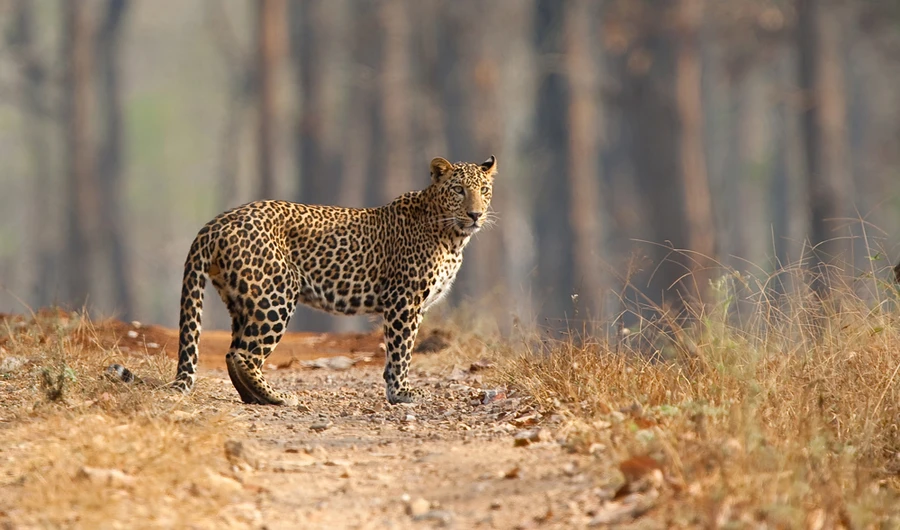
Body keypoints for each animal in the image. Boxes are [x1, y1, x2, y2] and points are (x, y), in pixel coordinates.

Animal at [171, 155, 498, 405]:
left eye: (484, 189)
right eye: (458, 190)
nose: (475, 214)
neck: (452, 237)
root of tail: (217, 222)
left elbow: (395, 354)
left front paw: (395, 391)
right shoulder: (404, 301)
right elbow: (401, 351)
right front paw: (402, 393)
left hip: (243, 300)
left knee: (231, 354)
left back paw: (255, 398)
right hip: (275, 296)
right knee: (244, 355)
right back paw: (278, 397)